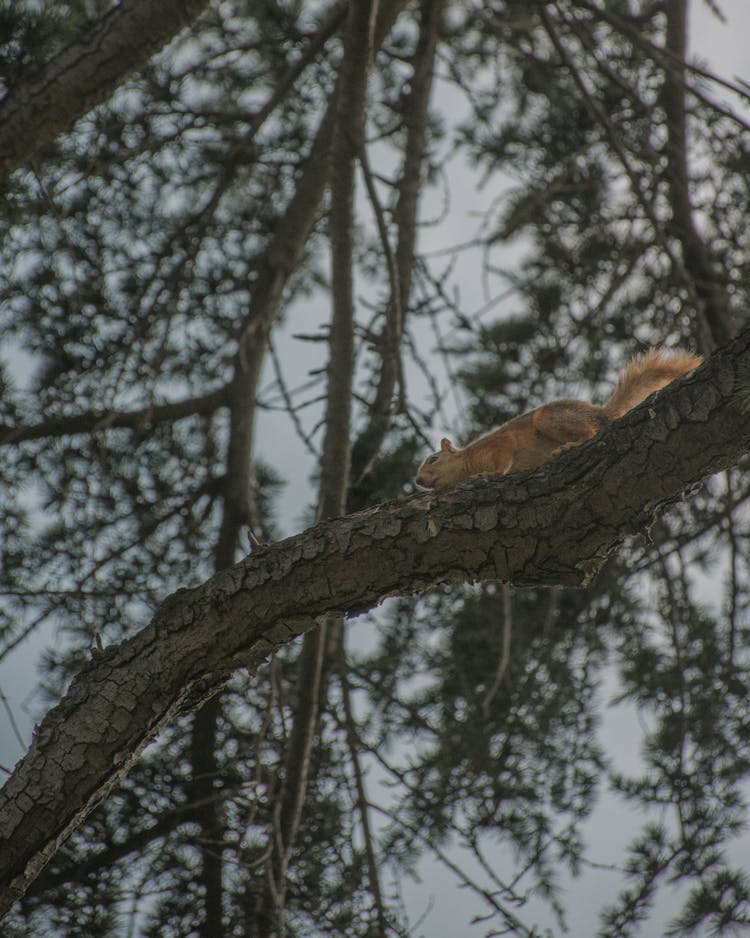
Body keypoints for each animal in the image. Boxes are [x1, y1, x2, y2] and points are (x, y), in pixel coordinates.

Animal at [414, 346, 704, 490]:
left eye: (433, 459)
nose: (417, 481)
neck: (466, 461)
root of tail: (601, 413)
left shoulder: (498, 444)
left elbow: (502, 459)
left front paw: (487, 475)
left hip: (549, 419)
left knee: (589, 434)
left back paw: (567, 447)